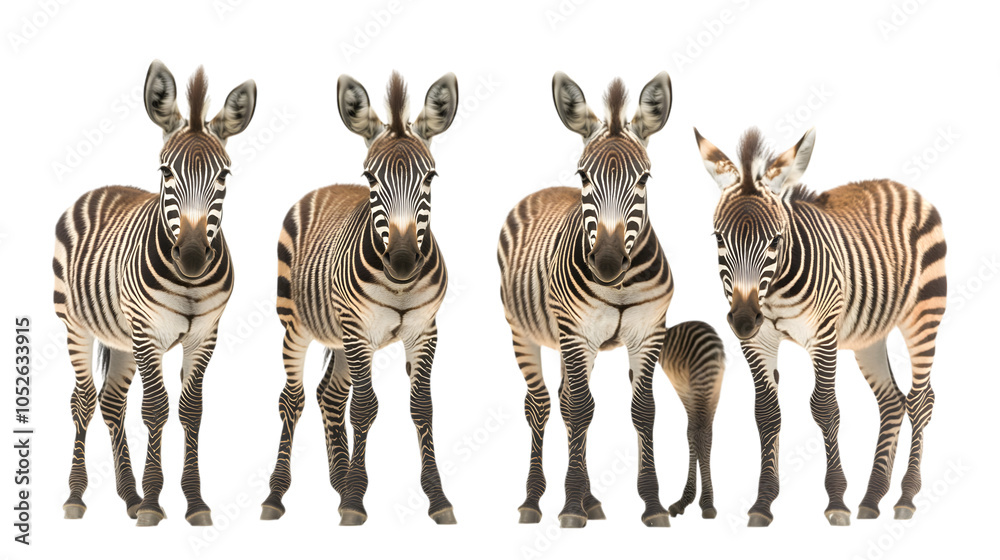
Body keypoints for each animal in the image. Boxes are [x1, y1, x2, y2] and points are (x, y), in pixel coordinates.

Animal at [53, 60, 256, 527]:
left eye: (224, 175)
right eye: (166, 172)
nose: (193, 257)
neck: (189, 283)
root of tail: (105, 187)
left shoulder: (204, 335)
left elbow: (191, 410)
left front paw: (193, 502)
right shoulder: (148, 333)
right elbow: (156, 409)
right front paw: (152, 503)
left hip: (121, 338)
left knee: (111, 402)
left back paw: (127, 497)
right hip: (76, 325)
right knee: (83, 401)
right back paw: (76, 497)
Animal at [260, 72, 459, 526]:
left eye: (430, 178)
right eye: (371, 178)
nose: (402, 261)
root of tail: (326, 188)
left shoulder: (425, 331)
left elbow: (422, 407)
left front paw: (437, 498)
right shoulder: (357, 330)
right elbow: (365, 408)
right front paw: (355, 500)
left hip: (338, 337)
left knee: (328, 395)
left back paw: (338, 483)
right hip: (297, 327)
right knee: (292, 399)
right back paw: (277, 495)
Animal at [498, 72, 725, 528]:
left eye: (644, 179)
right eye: (584, 176)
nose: (606, 262)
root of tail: (544, 191)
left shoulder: (648, 334)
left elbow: (643, 411)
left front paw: (652, 504)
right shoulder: (576, 334)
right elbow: (582, 410)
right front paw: (570, 508)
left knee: (565, 401)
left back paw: (591, 500)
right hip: (525, 332)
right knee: (542, 405)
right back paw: (534, 501)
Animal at [695, 127, 946, 526]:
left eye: (776, 240)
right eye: (719, 238)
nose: (744, 319)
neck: (773, 291)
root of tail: (902, 186)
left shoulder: (824, 335)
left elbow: (825, 408)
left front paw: (836, 501)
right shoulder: (758, 342)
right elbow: (766, 414)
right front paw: (763, 503)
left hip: (924, 315)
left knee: (921, 400)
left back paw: (906, 496)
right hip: (869, 337)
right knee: (893, 401)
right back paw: (872, 499)